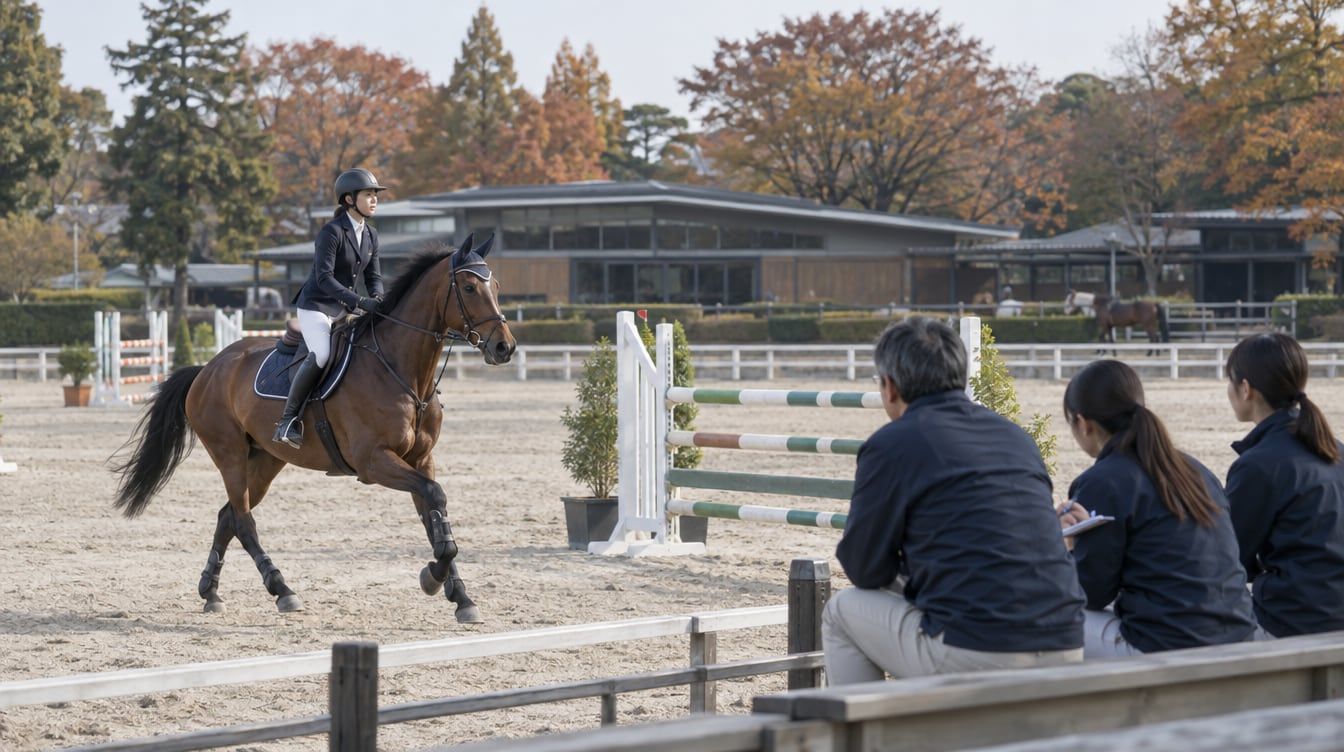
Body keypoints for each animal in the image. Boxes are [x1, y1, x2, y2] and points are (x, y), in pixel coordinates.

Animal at [111, 234, 516, 623]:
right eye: (468, 288)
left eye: (496, 285)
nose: (505, 347)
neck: (404, 373)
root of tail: (207, 368)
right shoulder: (374, 462)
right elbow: (435, 501)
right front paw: (432, 578)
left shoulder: (421, 460)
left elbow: (435, 513)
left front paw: (460, 597)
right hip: (230, 454)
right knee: (243, 521)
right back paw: (282, 589)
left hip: (265, 460)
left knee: (228, 516)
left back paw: (211, 591)